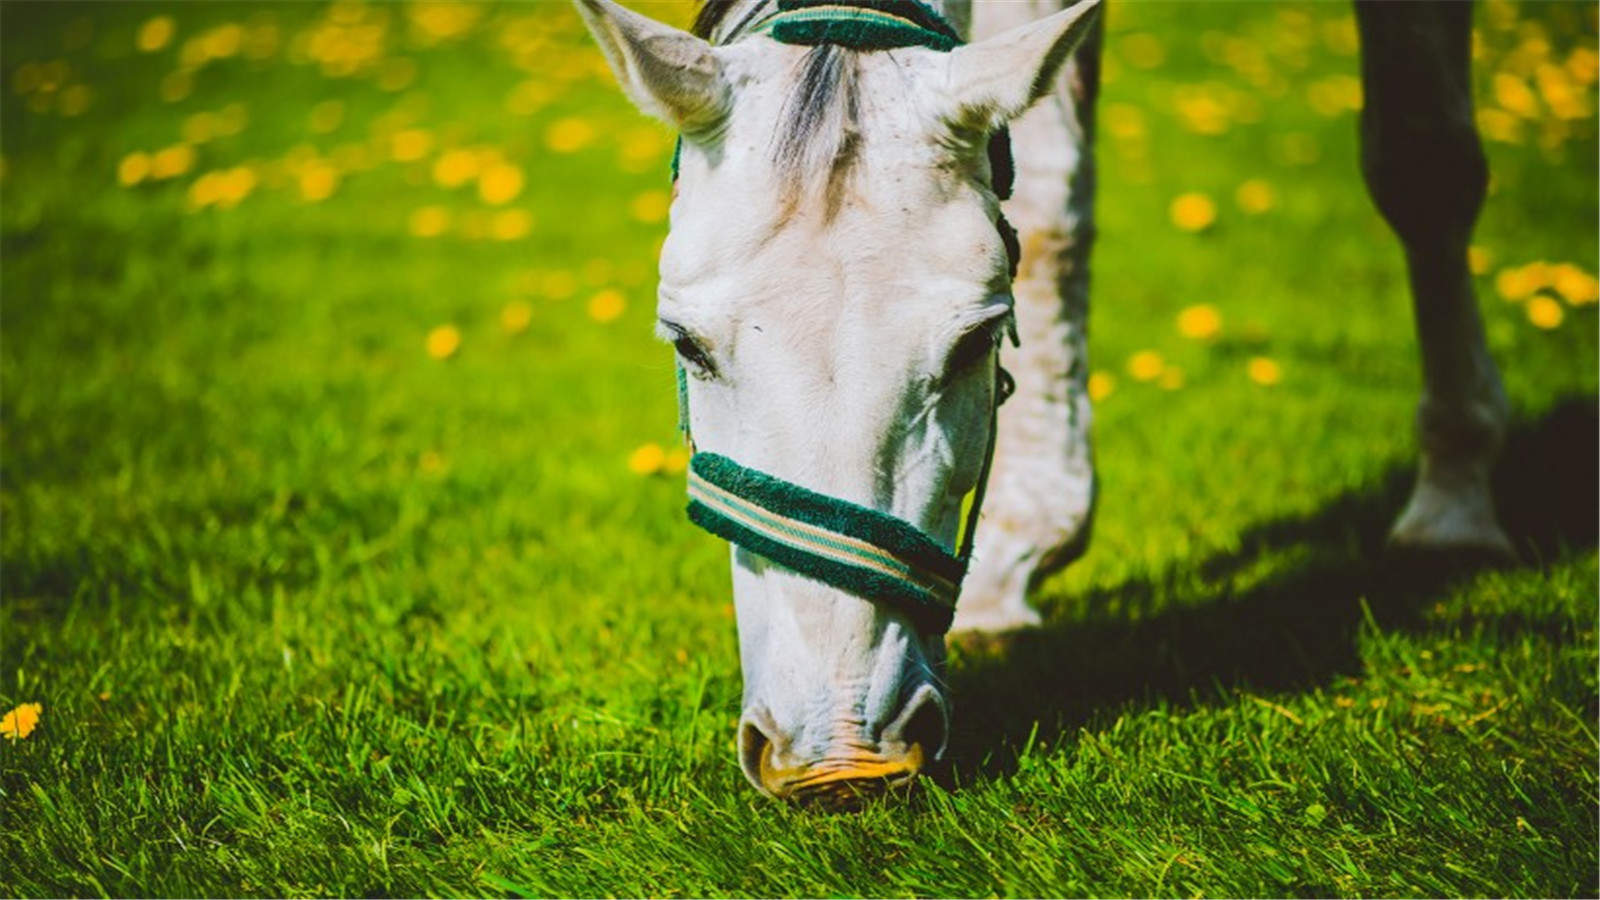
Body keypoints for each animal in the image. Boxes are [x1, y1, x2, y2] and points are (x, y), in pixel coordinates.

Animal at [575, 0, 1511, 804]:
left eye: (974, 344)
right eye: (687, 345)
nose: (841, 759)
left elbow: (1425, 163)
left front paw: (1458, 498)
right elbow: (1053, 199)